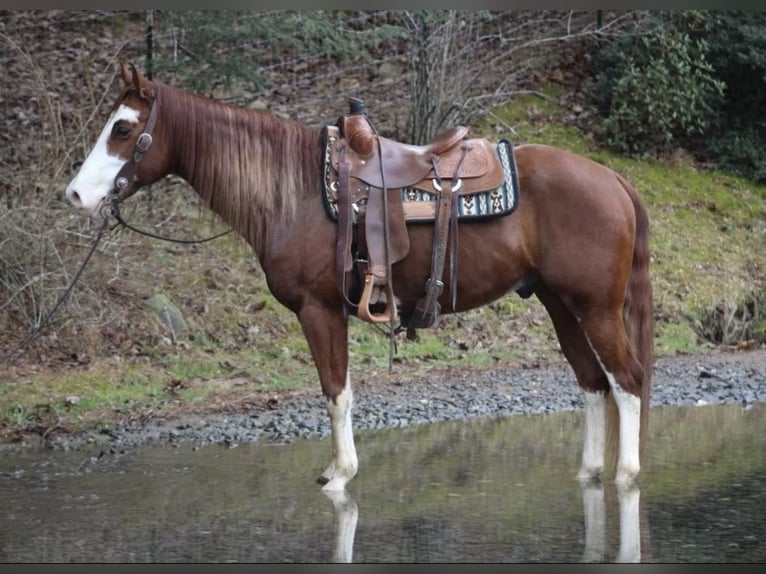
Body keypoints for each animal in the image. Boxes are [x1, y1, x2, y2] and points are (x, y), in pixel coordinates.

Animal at [64, 65, 656, 492]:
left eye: (123, 128)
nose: (75, 194)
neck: (295, 191)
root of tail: (613, 179)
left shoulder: (319, 310)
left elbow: (336, 390)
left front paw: (340, 474)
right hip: (560, 304)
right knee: (592, 382)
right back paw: (589, 473)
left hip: (596, 308)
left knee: (627, 380)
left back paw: (626, 475)